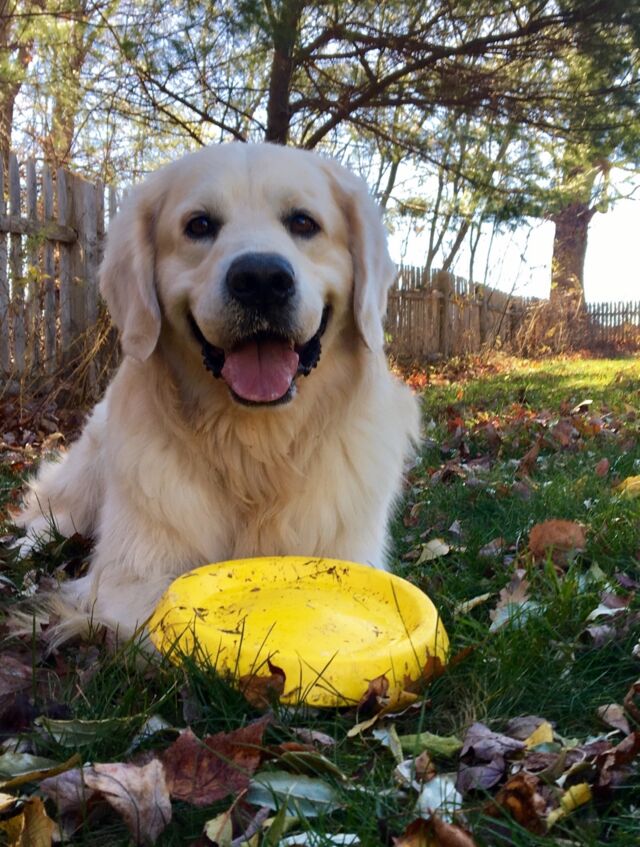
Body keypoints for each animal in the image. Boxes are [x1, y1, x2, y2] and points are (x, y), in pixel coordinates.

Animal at [18, 143, 420, 641]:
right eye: (199, 225)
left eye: (303, 222)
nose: (262, 279)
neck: (256, 447)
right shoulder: (129, 576)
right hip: (86, 472)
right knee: (47, 507)